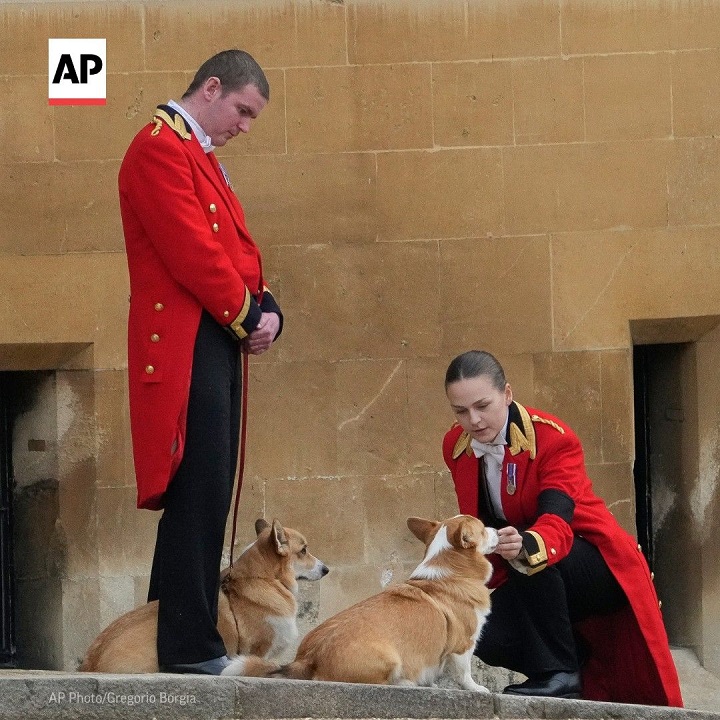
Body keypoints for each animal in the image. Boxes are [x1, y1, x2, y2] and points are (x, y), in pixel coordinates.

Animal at [224, 516, 496, 688]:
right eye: (483, 529)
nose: (497, 529)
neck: (451, 571)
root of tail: (307, 660)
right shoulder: (464, 643)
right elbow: (465, 672)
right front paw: (477, 689)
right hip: (390, 658)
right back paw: (406, 682)